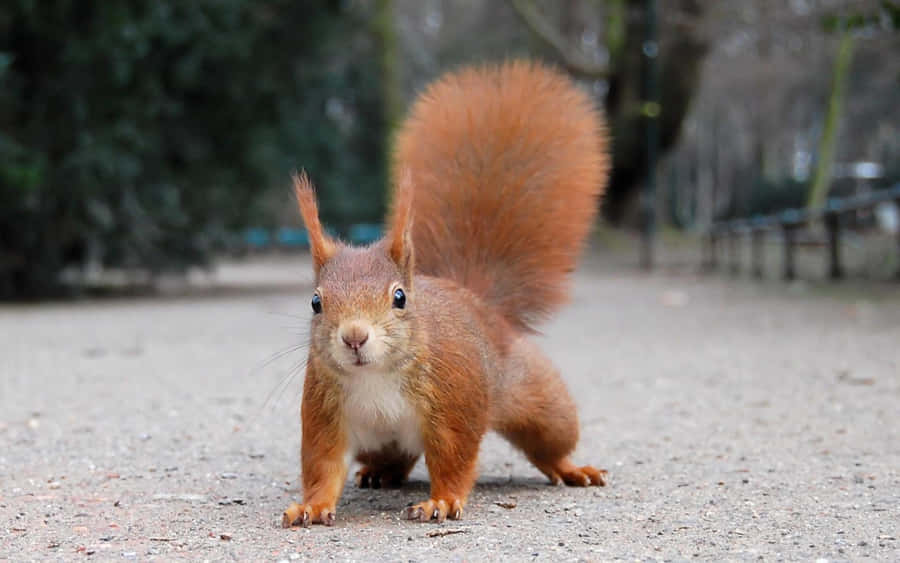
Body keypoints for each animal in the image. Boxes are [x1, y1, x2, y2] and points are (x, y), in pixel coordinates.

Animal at [282, 60, 610, 527]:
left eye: (400, 297)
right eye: (315, 302)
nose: (354, 337)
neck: (375, 376)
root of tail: (477, 301)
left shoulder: (454, 404)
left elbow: (453, 459)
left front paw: (441, 500)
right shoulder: (325, 413)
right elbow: (323, 466)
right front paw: (310, 505)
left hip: (539, 400)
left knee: (550, 441)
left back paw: (571, 468)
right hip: (379, 440)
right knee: (395, 457)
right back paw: (380, 473)